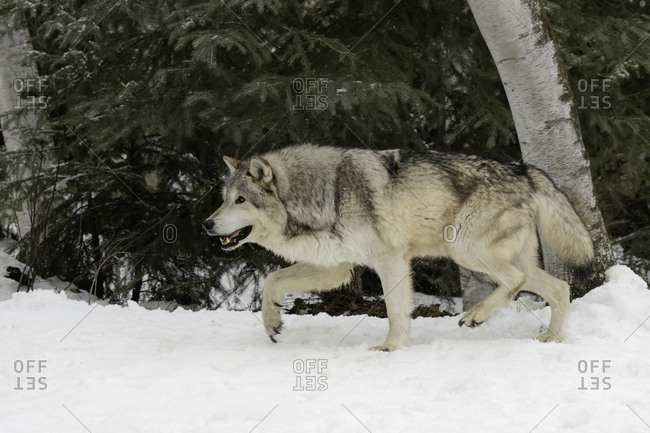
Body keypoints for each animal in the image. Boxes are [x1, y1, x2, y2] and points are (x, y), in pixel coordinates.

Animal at [202, 144, 594, 351]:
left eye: (240, 200)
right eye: (223, 199)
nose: (207, 224)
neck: (325, 193)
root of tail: (524, 171)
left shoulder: (389, 260)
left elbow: (394, 311)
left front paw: (390, 348)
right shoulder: (337, 269)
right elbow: (273, 279)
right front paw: (272, 321)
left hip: (462, 248)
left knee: (516, 281)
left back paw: (475, 316)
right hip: (499, 257)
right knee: (560, 288)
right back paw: (551, 338)